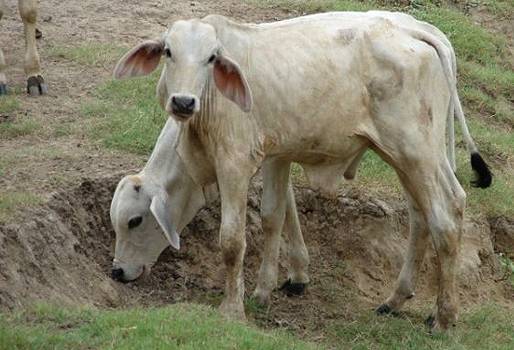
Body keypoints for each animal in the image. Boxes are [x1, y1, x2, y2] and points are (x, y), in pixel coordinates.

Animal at [112, 11, 488, 330]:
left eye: (135, 221)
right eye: (168, 52)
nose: (117, 272)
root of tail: (419, 31)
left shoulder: (234, 163)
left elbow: (233, 240)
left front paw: (232, 310)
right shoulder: (277, 154)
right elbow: (276, 214)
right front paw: (278, 284)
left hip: (417, 152)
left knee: (446, 215)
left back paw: (444, 318)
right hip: (406, 157)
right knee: (421, 215)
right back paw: (396, 299)